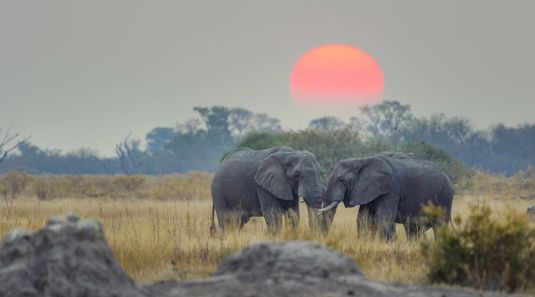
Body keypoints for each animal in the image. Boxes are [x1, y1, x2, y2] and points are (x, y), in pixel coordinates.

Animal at [320, 151, 454, 239]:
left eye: (342, 180)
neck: (362, 160)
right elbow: (363, 219)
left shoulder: (391, 189)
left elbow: (384, 218)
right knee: (414, 229)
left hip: (445, 197)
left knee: (439, 227)